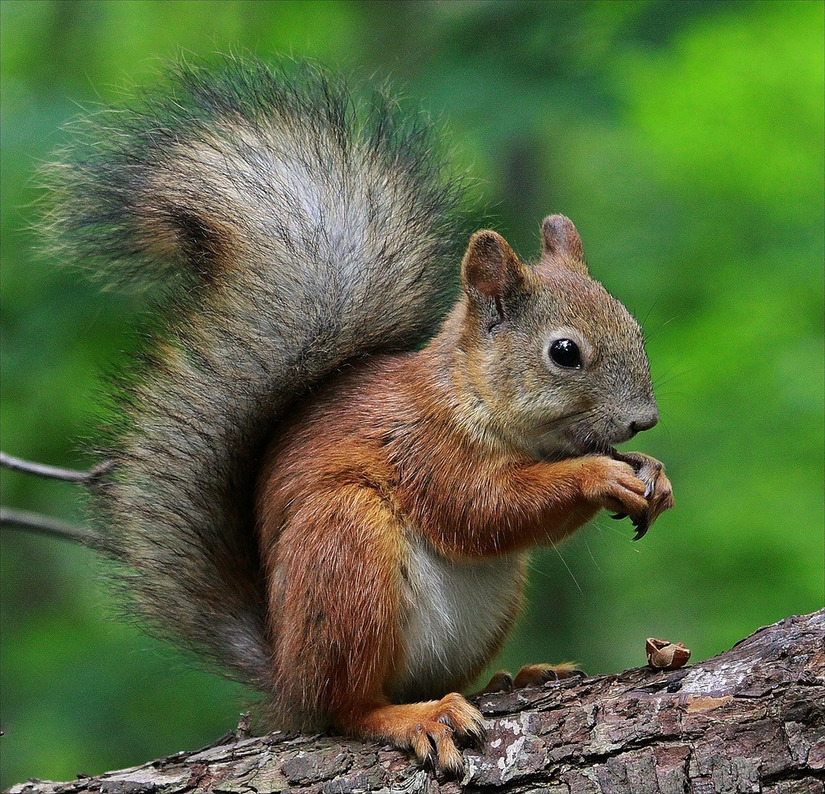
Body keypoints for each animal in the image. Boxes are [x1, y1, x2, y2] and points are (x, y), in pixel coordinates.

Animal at [45, 57, 672, 772]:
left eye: (636, 327)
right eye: (564, 353)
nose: (645, 421)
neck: (471, 398)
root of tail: (285, 674)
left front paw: (652, 473)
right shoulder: (420, 446)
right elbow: (481, 508)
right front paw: (599, 475)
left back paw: (512, 678)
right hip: (344, 550)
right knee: (344, 707)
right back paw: (410, 715)